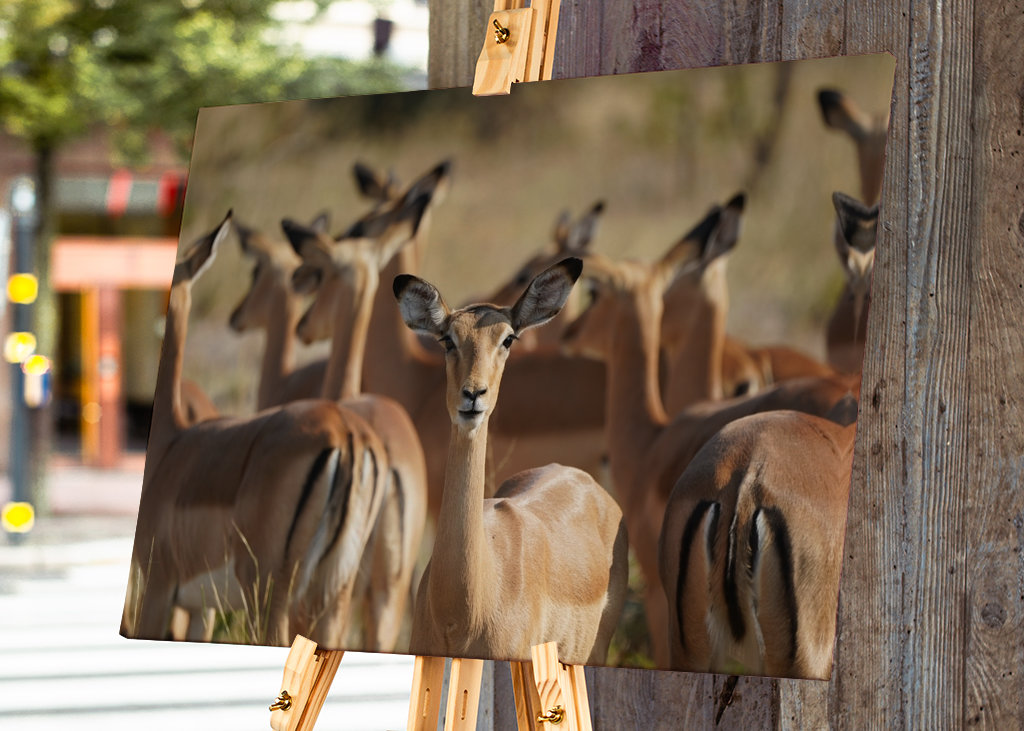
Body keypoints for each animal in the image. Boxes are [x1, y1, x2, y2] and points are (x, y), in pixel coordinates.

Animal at [122, 212, 389, 649]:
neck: (170, 445)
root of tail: (346, 433)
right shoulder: (202, 609)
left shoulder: (160, 589)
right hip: (333, 594)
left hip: (270, 597)